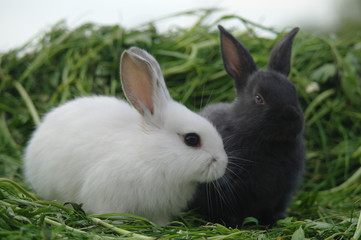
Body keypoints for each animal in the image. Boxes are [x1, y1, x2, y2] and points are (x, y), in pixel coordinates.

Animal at [188, 25, 304, 228]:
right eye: (259, 98)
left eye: (293, 91)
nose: (292, 119)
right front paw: (233, 225)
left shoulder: (280, 195)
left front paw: (272, 222)